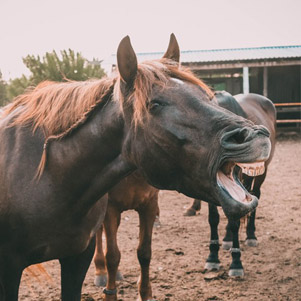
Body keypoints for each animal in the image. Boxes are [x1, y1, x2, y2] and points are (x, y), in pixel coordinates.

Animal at [93, 171, 159, 300]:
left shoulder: (150, 204)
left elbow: (144, 253)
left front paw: (145, 293)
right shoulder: (110, 207)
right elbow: (112, 255)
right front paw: (109, 296)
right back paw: (101, 270)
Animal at [182, 90, 276, 276]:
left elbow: (235, 219)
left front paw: (236, 263)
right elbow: (214, 218)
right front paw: (212, 257)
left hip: (261, 173)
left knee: (255, 196)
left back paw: (251, 235)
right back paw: (227, 239)